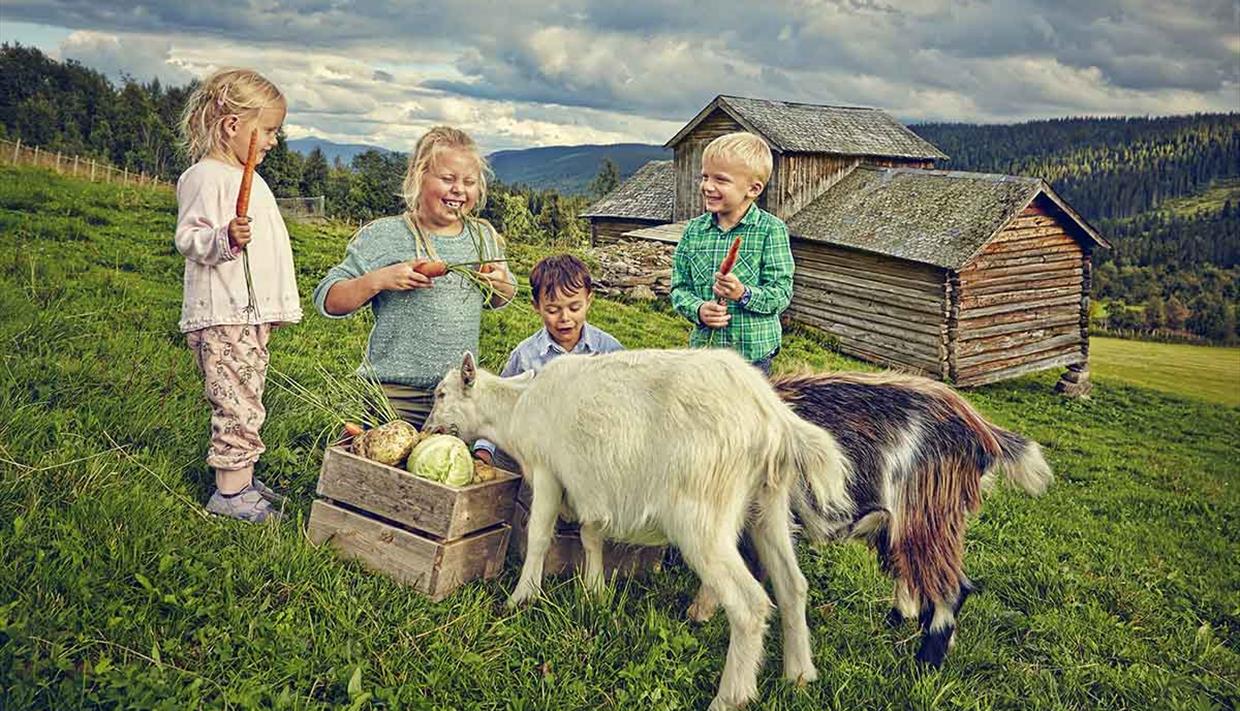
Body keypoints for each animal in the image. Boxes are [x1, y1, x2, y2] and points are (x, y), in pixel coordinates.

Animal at [426, 347, 853, 704]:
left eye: (442, 394)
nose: (429, 429)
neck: (516, 408)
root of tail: (774, 419)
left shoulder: (548, 472)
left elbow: (540, 535)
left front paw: (522, 597)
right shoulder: (591, 487)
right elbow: (590, 535)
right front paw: (594, 591)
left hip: (700, 513)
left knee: (750, 605)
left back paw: (729, 698)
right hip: (767, 503)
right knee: (792, 585)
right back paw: (799, 674)